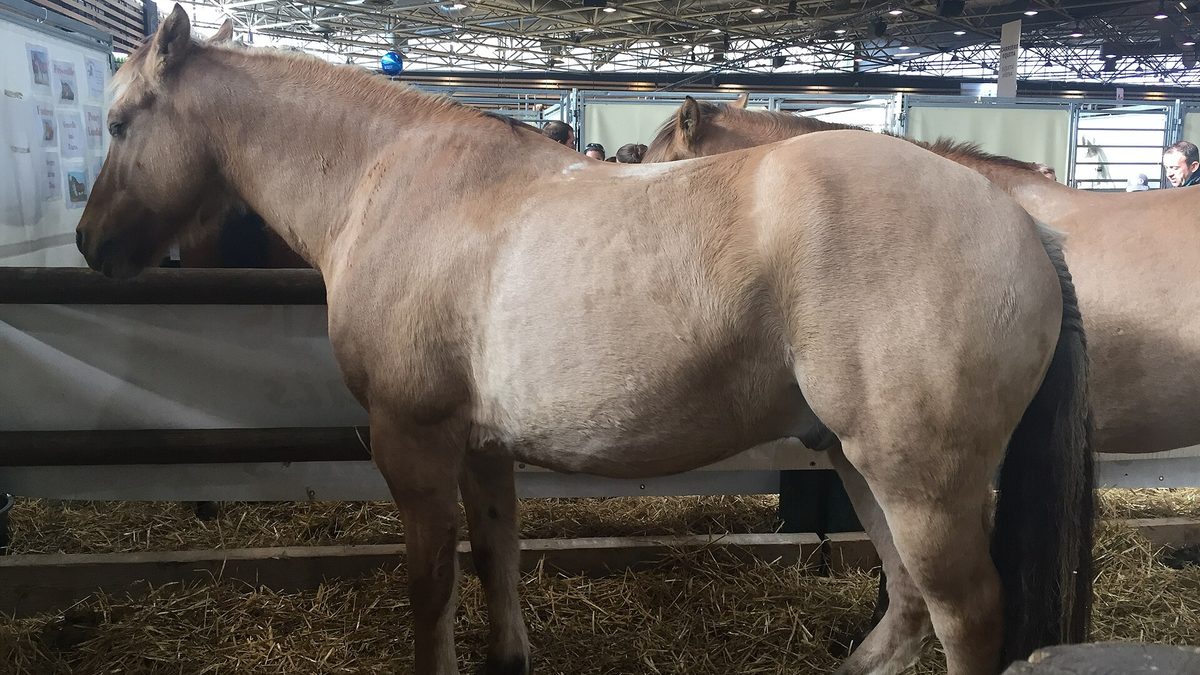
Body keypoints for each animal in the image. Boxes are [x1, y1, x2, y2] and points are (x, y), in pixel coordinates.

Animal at [76, 8, 1094, 674]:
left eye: (119, 122)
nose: (90, 245)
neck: (394, 181)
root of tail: (1019, 218)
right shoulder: (483, 448)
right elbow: (497, 556)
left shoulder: (413, 442)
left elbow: (430, 587)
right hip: (858, 460)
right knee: (909, 603)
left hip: (920, 478)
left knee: (964, 616)